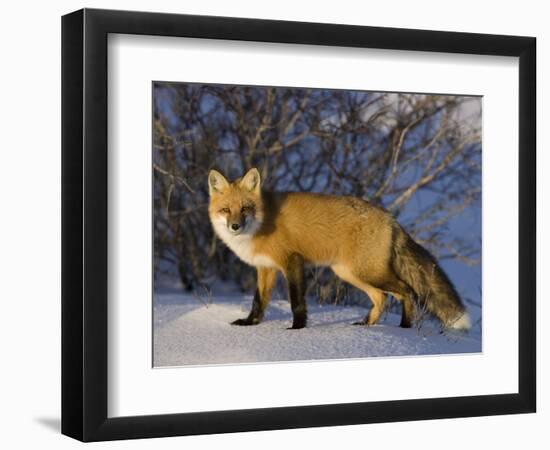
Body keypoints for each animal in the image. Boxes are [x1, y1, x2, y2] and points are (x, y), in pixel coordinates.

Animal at [209, 168, 472, 330]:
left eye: (245, 208)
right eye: (226, 209)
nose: (235, 226)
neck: (261, 223)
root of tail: (390, 218)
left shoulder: (292, 261)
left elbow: (296, 302)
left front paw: (296, 329)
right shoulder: (266, 268)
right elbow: (259, 301)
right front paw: (250, 324)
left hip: (367, 272)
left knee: (406, 292)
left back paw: (404, 328)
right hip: (350, 273)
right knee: (382, 298)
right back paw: (366, 326)